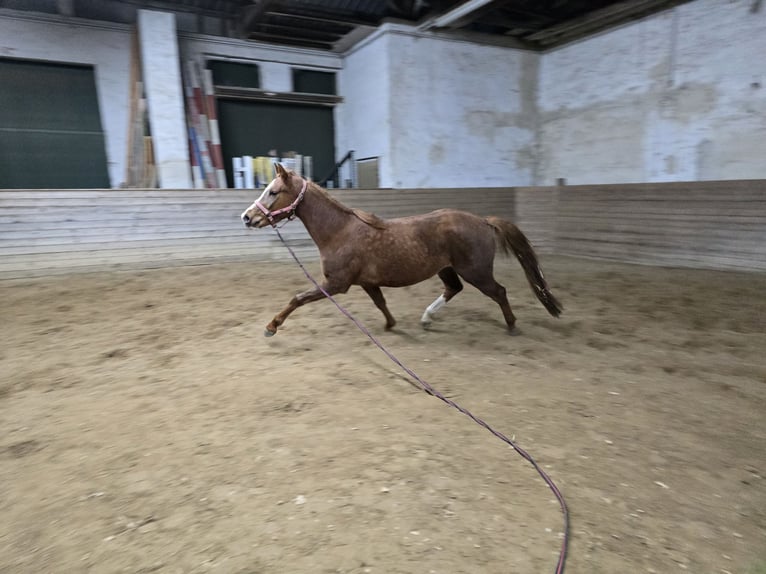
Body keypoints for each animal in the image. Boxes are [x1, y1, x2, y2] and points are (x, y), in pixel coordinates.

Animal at [243, 164, 560, 338]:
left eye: (273, 192)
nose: (247, 217)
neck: (339, 232)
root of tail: (483, 221)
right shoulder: (366, 282)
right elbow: (381, 303)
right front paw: (391, 324)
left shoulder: (336, 284)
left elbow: (297, 298)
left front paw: (271, 327)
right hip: (447, 269)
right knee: (454, 289)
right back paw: (426, 319)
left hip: (476, 272)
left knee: (500, 292)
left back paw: (512, 325)